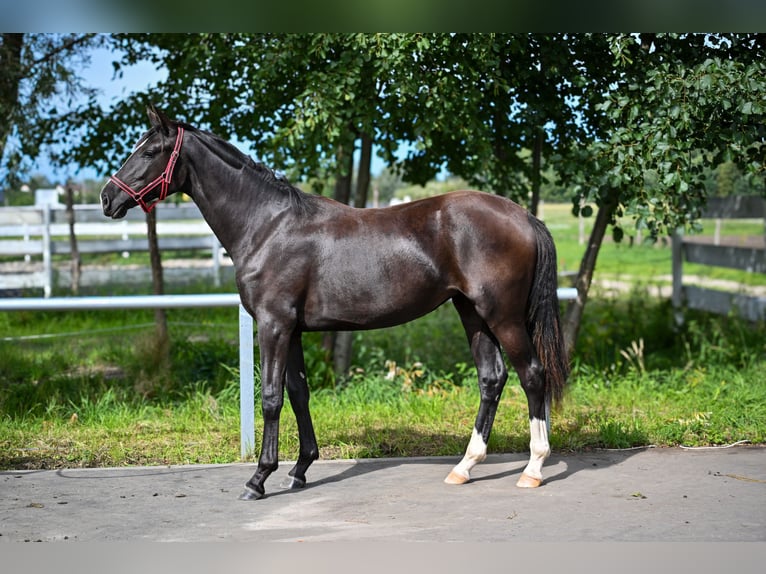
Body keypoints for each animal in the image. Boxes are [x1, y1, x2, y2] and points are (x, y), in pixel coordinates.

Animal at [101, 105, 570, 500]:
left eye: (151, 151)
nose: (108, 198)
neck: (267, 226)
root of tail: (524, 216)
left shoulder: (273, 325)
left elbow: (271, 397)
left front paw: (259, 478)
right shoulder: (291, 330)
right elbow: (298, 392)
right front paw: (299, 470)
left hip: (503, 315)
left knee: (532, 375)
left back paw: (533, 469)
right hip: (472, 313)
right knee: (492, 378)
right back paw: (464, 467)